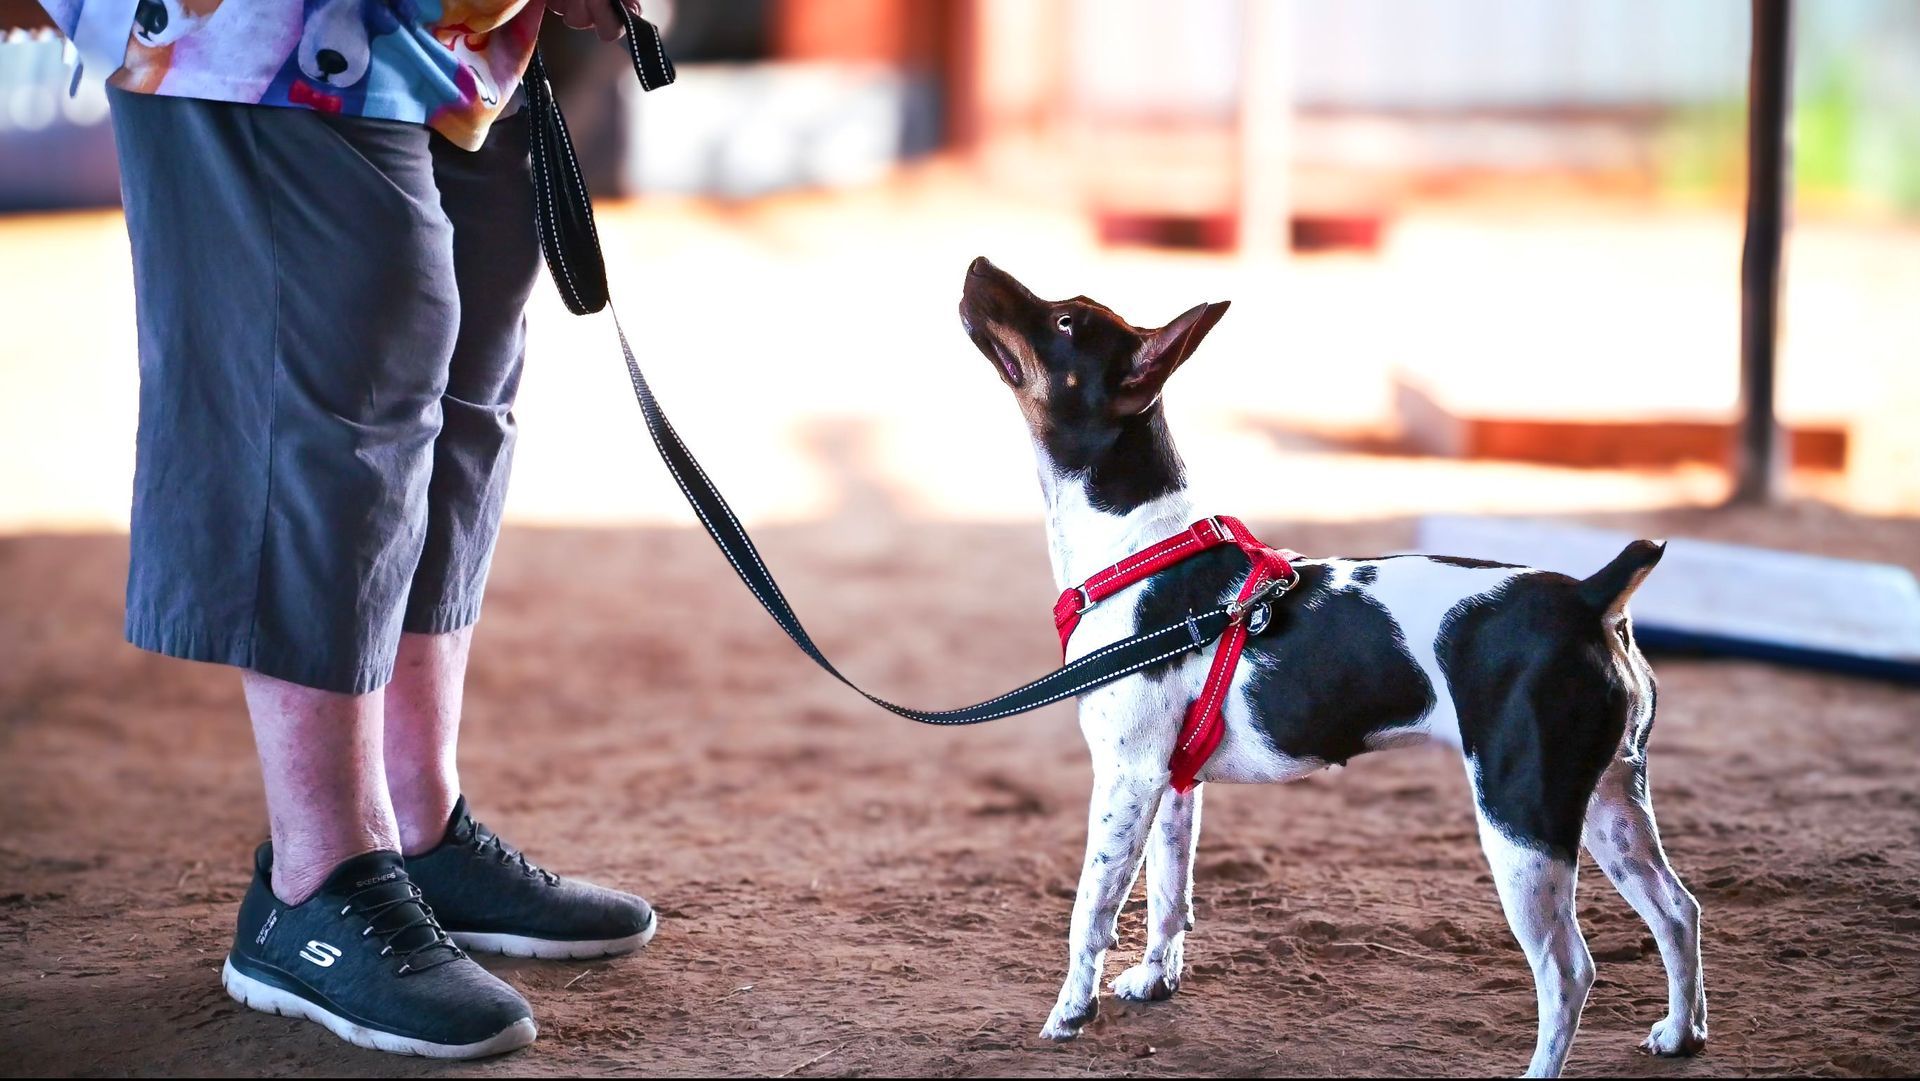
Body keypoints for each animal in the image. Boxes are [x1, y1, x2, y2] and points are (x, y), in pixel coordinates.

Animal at [960, 257, 1712, 1075]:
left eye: (1065, 322)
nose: (977, 265)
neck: (1137, 545)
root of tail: (1588, 596)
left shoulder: (1124, 779)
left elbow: (1091, 909)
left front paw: (1071, 1010)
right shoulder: (1172, 784)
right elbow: (1167, 896)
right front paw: (1156, 979)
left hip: (1523, 822)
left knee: (1569, 969)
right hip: (1611, 804)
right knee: (1678, 910)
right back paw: (1681, 1033)